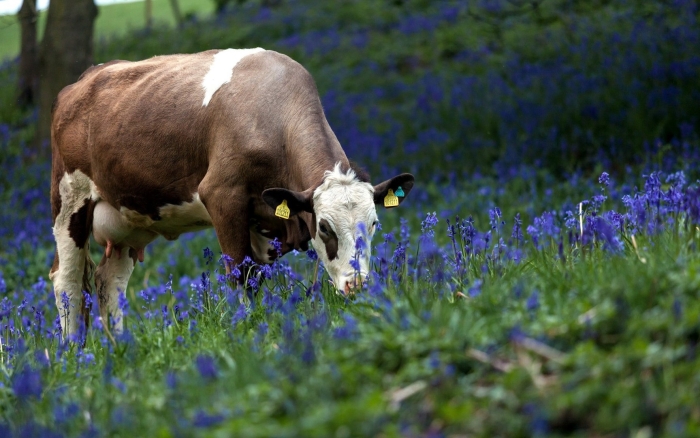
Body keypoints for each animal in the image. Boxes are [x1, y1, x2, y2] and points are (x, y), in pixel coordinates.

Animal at [49, 48, 414, 338]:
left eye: (374, 224)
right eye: (324, 227)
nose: (358, 285)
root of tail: (84, 79)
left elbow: (255, 276)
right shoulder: (222, 197)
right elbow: (241, 274)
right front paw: (247, 327)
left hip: (129, 220)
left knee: (109, 283)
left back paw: (120, 351)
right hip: (69, 199)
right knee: (66, 280)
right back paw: (73, 355)